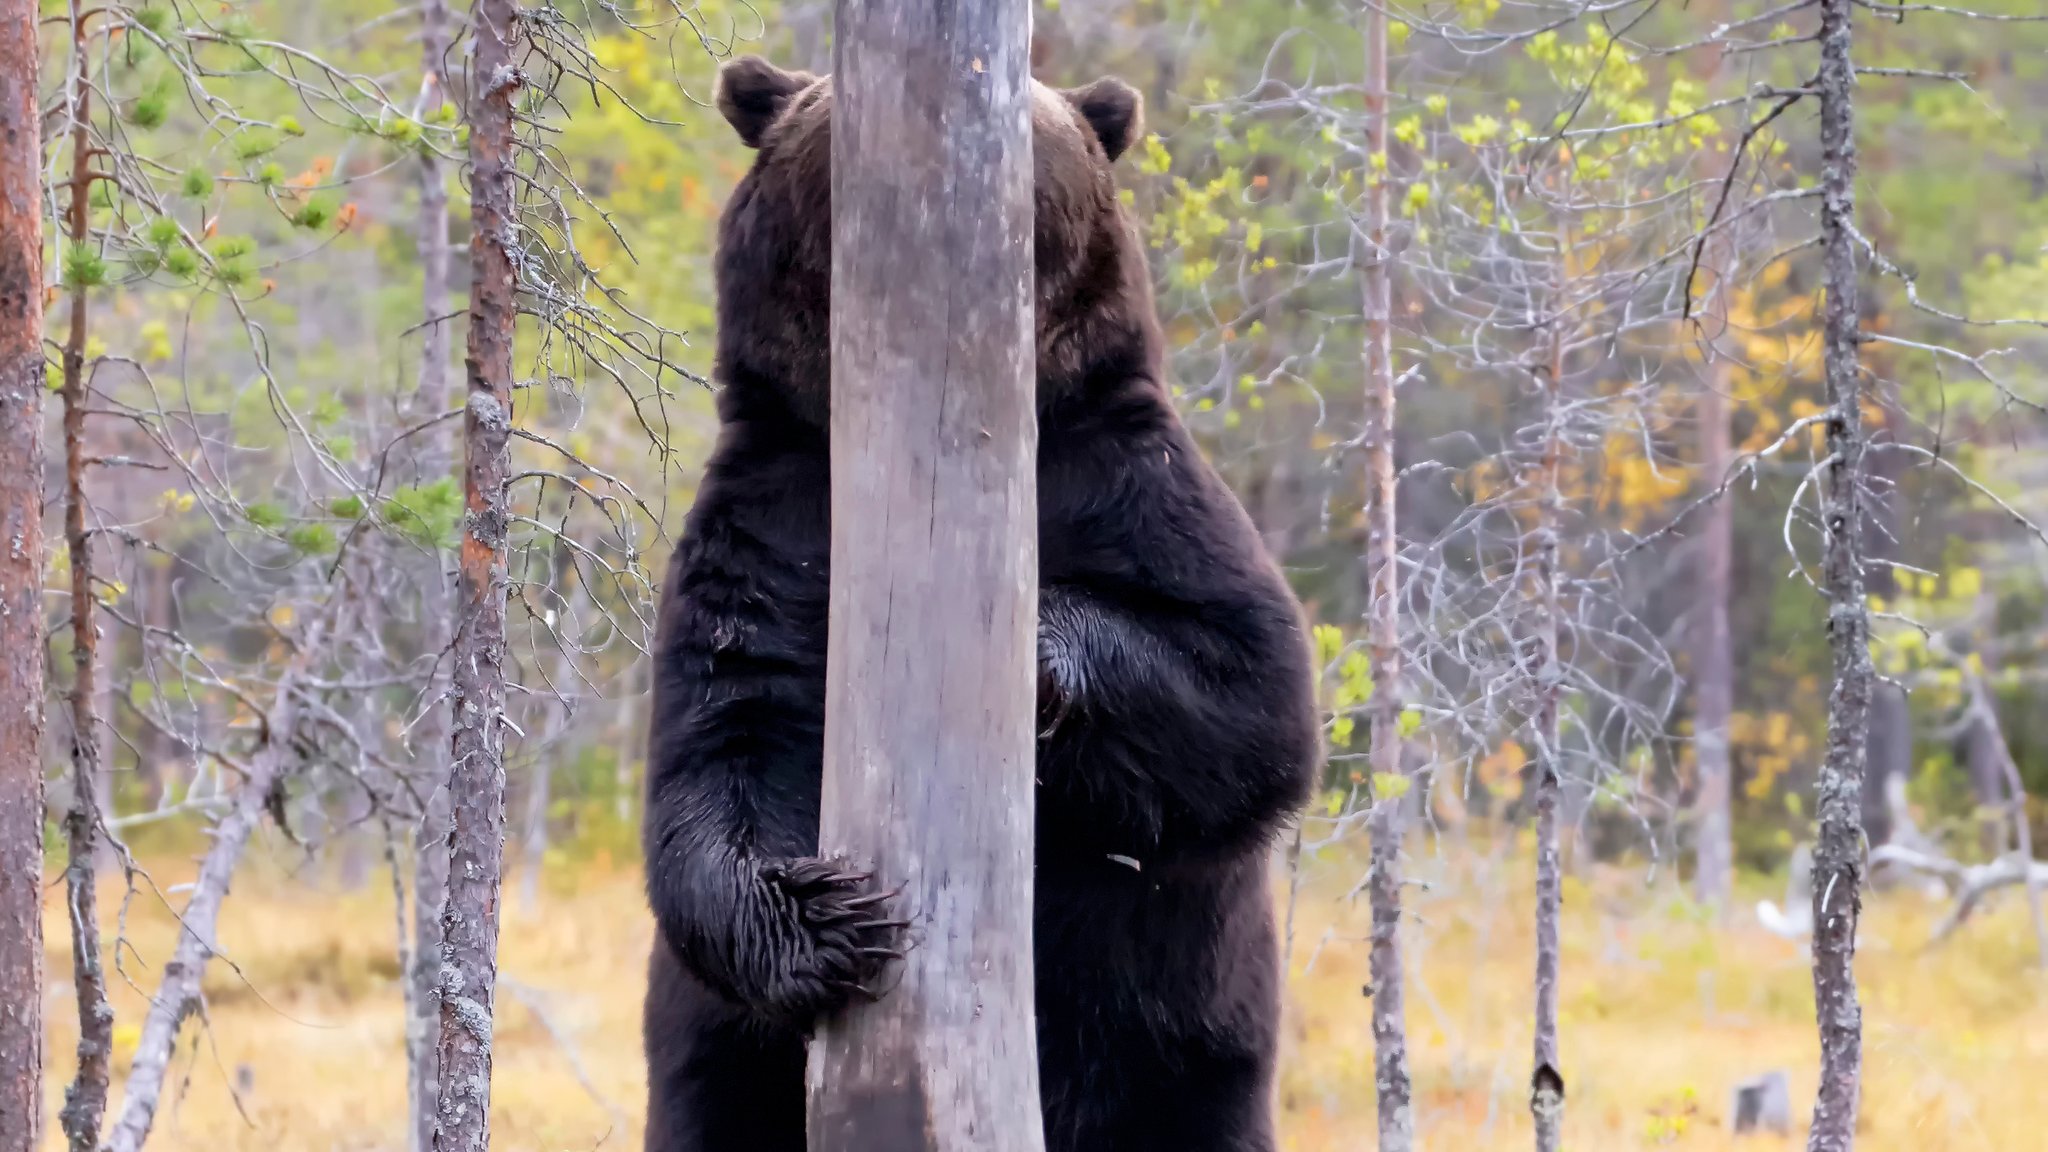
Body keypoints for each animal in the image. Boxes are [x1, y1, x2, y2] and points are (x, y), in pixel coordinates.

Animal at [638, 53, 1310, 1147]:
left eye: (1041, 118)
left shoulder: (1126, 479)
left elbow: (1250, 692)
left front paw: (1033, 648)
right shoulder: (773, 521)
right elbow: (722, 743)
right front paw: (834, 917)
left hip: (1179, 1051)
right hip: (730, 1083)